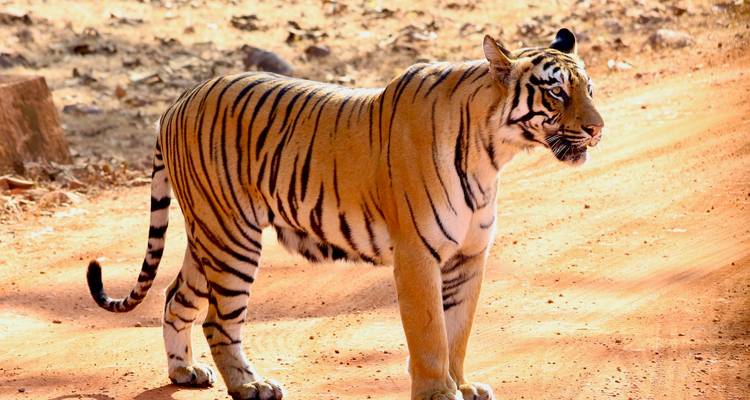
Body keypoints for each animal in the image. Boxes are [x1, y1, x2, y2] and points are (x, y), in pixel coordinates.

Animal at [86, 28, 603, 400]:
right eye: (557, 94)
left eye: (590, 90)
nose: (599, 129)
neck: (493, 151)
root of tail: (177, 102)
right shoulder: (417, 255)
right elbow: (431, 333)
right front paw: (439, 393)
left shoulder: (469, 257)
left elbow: (458, 330)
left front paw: (463, 384)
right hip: (231, 238)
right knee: (219, 319)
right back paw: (251, 386)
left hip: (210, 234)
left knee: (175, 296)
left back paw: (185, 372)